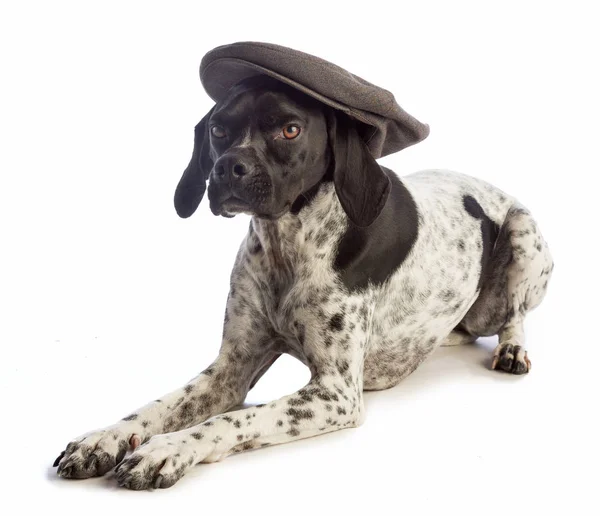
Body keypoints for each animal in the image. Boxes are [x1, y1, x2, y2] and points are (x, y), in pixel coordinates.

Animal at [52, 73, 552, 488]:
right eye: (218, 130)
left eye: (289, 130)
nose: (226, 167)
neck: (287, 247)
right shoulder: (230, 370)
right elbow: (157, 406)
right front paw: (103, 438)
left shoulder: (335, 392)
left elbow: (230, 421)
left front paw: (167, 450)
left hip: (524, 233)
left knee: (513, 316)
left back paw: (512, 350)